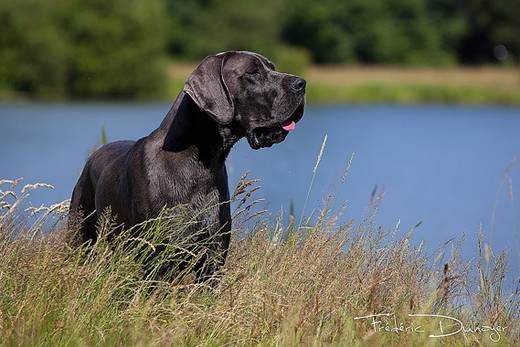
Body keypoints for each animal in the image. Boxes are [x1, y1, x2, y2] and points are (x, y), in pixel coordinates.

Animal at [68, 50, 304, 282]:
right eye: (252, 72)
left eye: (272, 68)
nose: (301, 83)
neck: (199, 163)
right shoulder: (158, 257)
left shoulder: (213, 258)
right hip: (80, 234)